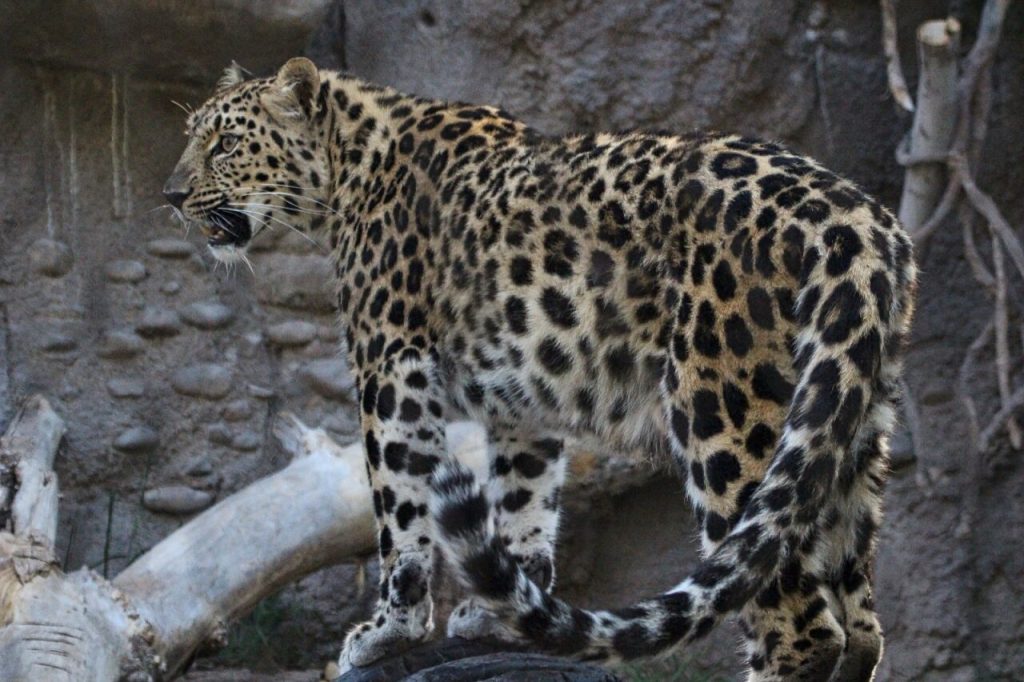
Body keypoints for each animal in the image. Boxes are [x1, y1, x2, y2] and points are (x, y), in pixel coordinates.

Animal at [164, 58, 916, 681]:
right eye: (194, 136)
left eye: (224, 143)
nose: (171, 196)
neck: (348, 171)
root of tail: (859, 219)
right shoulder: (520, 404)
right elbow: (523, 503)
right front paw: (503, 614)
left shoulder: (392, 371)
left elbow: (400, 511)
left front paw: (387, 632)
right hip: (849, 420)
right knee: (862, 624)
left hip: (725, 413)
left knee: (800, 626)